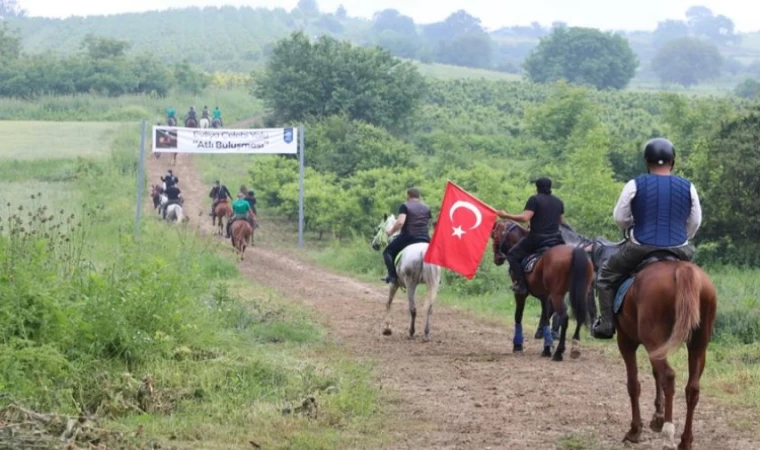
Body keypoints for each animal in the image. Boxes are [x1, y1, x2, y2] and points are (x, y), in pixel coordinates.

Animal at [372, 214, 442, 342]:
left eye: (379, 227)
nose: (374, 244)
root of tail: (422, 251)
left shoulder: (393, 284)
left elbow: (388, 303)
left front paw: (387, 328)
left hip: (410, 283)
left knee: (413, 309)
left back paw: (411, 332)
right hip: (432, 284)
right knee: (429, 309)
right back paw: (426, 333)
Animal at [490, 220, 596, 360]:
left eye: (494, 235)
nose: (497, 258)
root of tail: (574, 252)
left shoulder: (521, 294)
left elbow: (518, 316)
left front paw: (518, 345)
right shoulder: (545, 297)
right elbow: (545, 319)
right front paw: (546, 347)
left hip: (558, 295)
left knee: (564, 318)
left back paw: (559, 352)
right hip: (580, 293)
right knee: (580, 316)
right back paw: (575, 348)